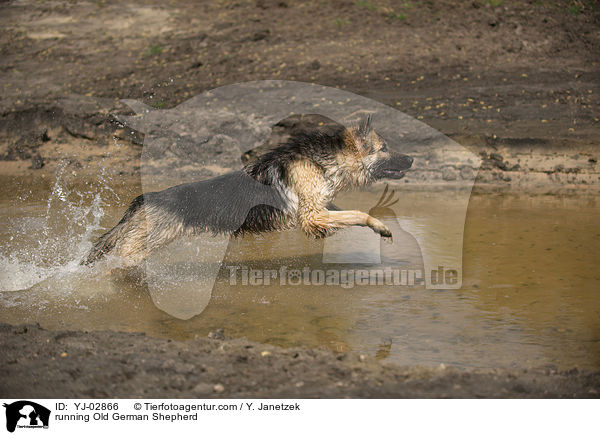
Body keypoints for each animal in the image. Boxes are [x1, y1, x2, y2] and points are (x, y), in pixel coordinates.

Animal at [83, 116, 412, 266]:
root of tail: (144, 198)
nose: (412, 159)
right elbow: (359, 212)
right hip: (139, 249)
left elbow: (349, 213)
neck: (324, 159)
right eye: (385, 148)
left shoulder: (320, 209)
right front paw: (381, 227)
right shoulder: (311, 216)